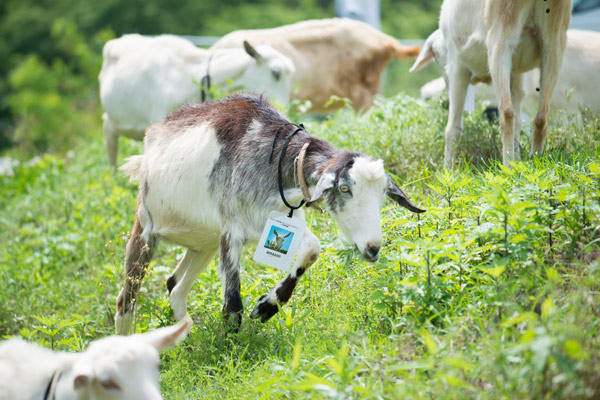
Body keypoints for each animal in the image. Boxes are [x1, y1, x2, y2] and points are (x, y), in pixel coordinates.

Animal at [115, 93, 424, 334]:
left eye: (383, 194)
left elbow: (313, 247)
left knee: (175, 285)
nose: (372, 248)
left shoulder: (281, 216)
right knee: (125, 301)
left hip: (203, 243)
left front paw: (267, 307)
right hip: (145, 229)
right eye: (345, 188)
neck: (270, 152)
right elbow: (233, 306)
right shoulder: (232, 231)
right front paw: (230, 356)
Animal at [410, 0, 568, 166]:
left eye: (436, 56)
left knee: (506, 112)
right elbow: (519, 121)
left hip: (500, 38)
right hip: (554, 44)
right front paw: (519, 163)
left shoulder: (456, 66)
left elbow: (453, 128)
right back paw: (535, 161)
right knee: (540, 118)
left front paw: (448, 170)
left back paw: (508, 166)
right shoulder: (515, 73)